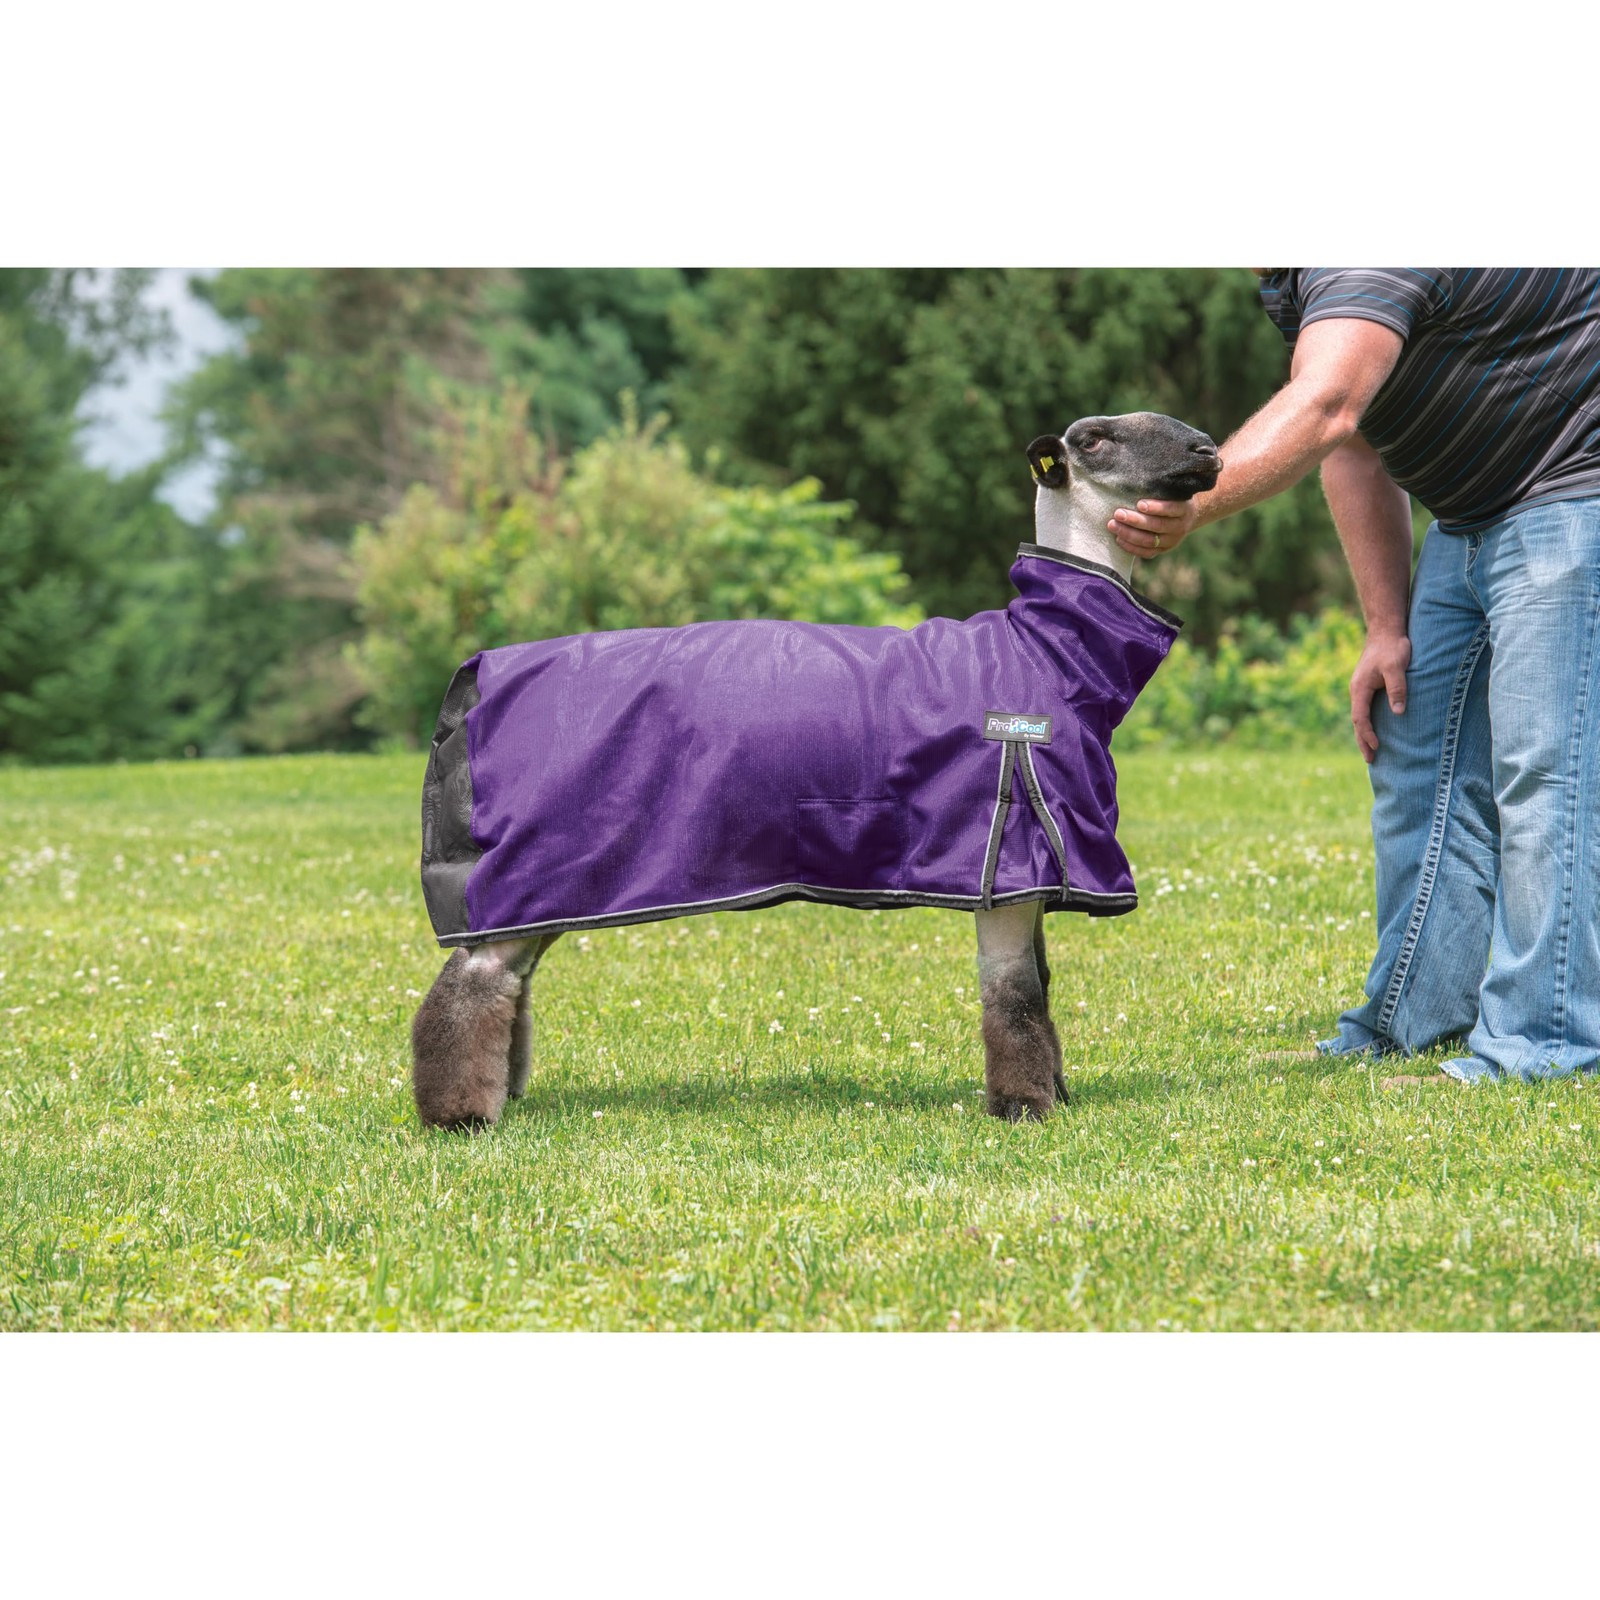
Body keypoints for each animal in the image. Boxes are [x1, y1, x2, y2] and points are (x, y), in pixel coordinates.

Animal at [410, 412, 1220, 1128]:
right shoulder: (1009, 855)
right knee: (471, 984)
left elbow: (1042, 991)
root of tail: (477, 679)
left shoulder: (1036, 867)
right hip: (534, 863)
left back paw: (505, 1093)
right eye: (1097, 439)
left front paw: (1055, 1094)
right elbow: (1015, 998)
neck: (1046, 650)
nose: (1209, 451)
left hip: (551, 884)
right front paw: (1026, 1110)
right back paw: (459, 1116)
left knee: (510, 979)